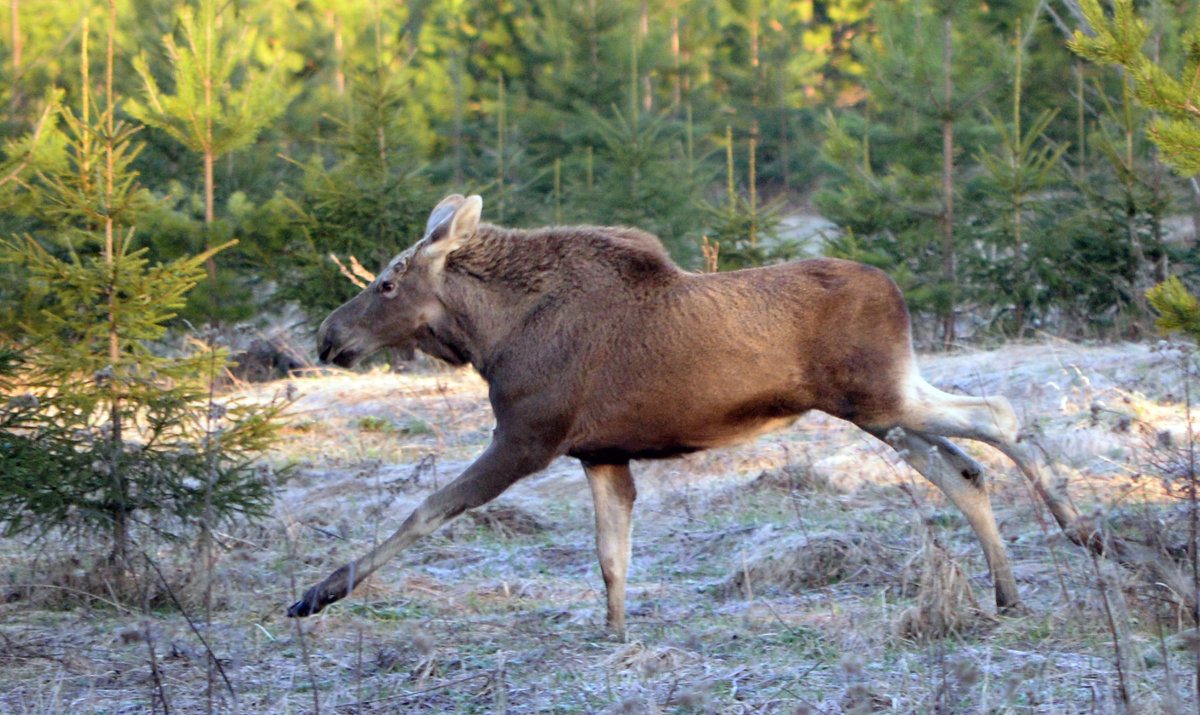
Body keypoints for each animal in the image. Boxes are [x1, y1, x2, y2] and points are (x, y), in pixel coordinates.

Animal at [288, 193, 1099, 633]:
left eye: (388, 282)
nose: (328, 337)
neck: (490, 338)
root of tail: (898, 294)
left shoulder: (527, 437)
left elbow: (425, 511)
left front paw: (318, 593)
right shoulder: (600, 452)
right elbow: (612, 558)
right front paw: (615, 634)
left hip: (878, 395)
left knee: (1000, 415)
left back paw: (1080, 531)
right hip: (878, 409)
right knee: (964, 469)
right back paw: (1011, 589)